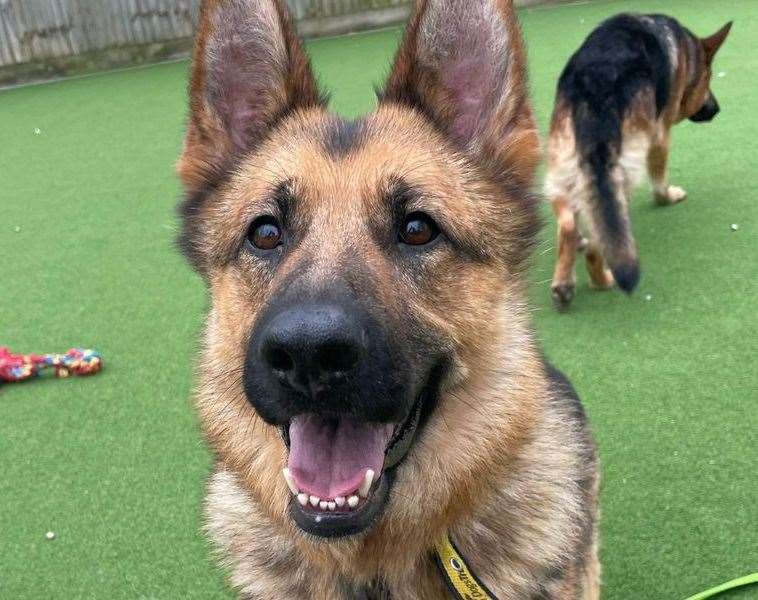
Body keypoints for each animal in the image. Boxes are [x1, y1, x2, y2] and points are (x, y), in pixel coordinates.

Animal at [548, 14, 736, 310]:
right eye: (708, 79)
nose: (716, 109)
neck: (688, 49)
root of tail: (596, 87)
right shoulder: (660, 135)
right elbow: (659, 183)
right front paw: (668, 197)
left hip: (564, 166)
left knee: (568, 224)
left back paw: (565, 282)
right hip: (620, 176)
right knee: (601, 240)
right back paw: (602, 280)